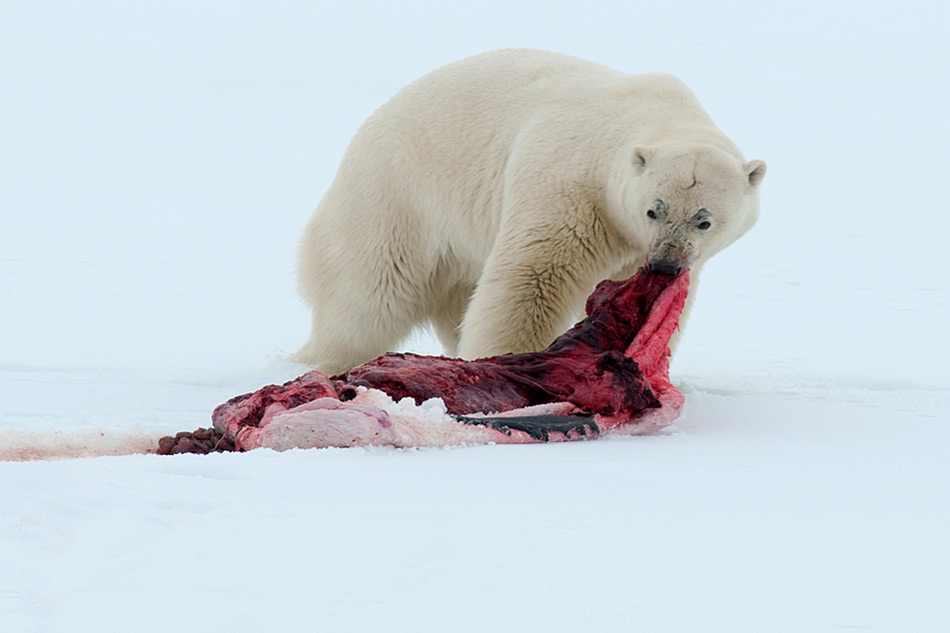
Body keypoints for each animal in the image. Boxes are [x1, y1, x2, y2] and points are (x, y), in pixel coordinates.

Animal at [298, 50, 768, 376]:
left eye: (704, 220)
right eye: (654, 210)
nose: (666, 263)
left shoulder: (636, 246)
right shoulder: (572, 185)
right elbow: (533, 278)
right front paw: (505, 359)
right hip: (395, 199)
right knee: (369, 296)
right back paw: (321, 360)